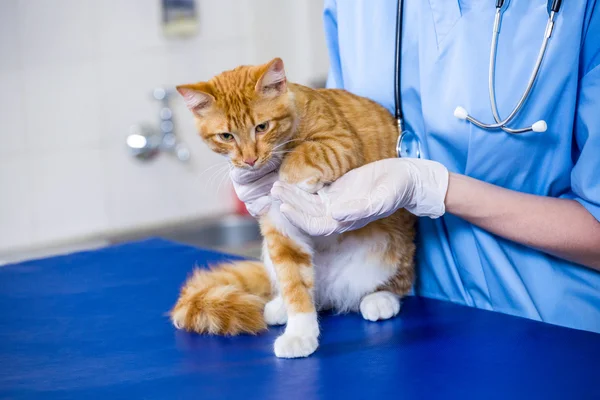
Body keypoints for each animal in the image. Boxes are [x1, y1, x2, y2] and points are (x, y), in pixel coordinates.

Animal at [171, 57, 414, 358]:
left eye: (262, 127)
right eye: (226, 136)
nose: (249, 160)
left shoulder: (341, 144)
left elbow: (302, 154)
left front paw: (287, 175)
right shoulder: (281, 233)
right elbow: (295, 285)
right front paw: (300, 332)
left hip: (395, 252)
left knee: (398, 283)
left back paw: (380, 298)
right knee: (307, 293)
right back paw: (281, 306)